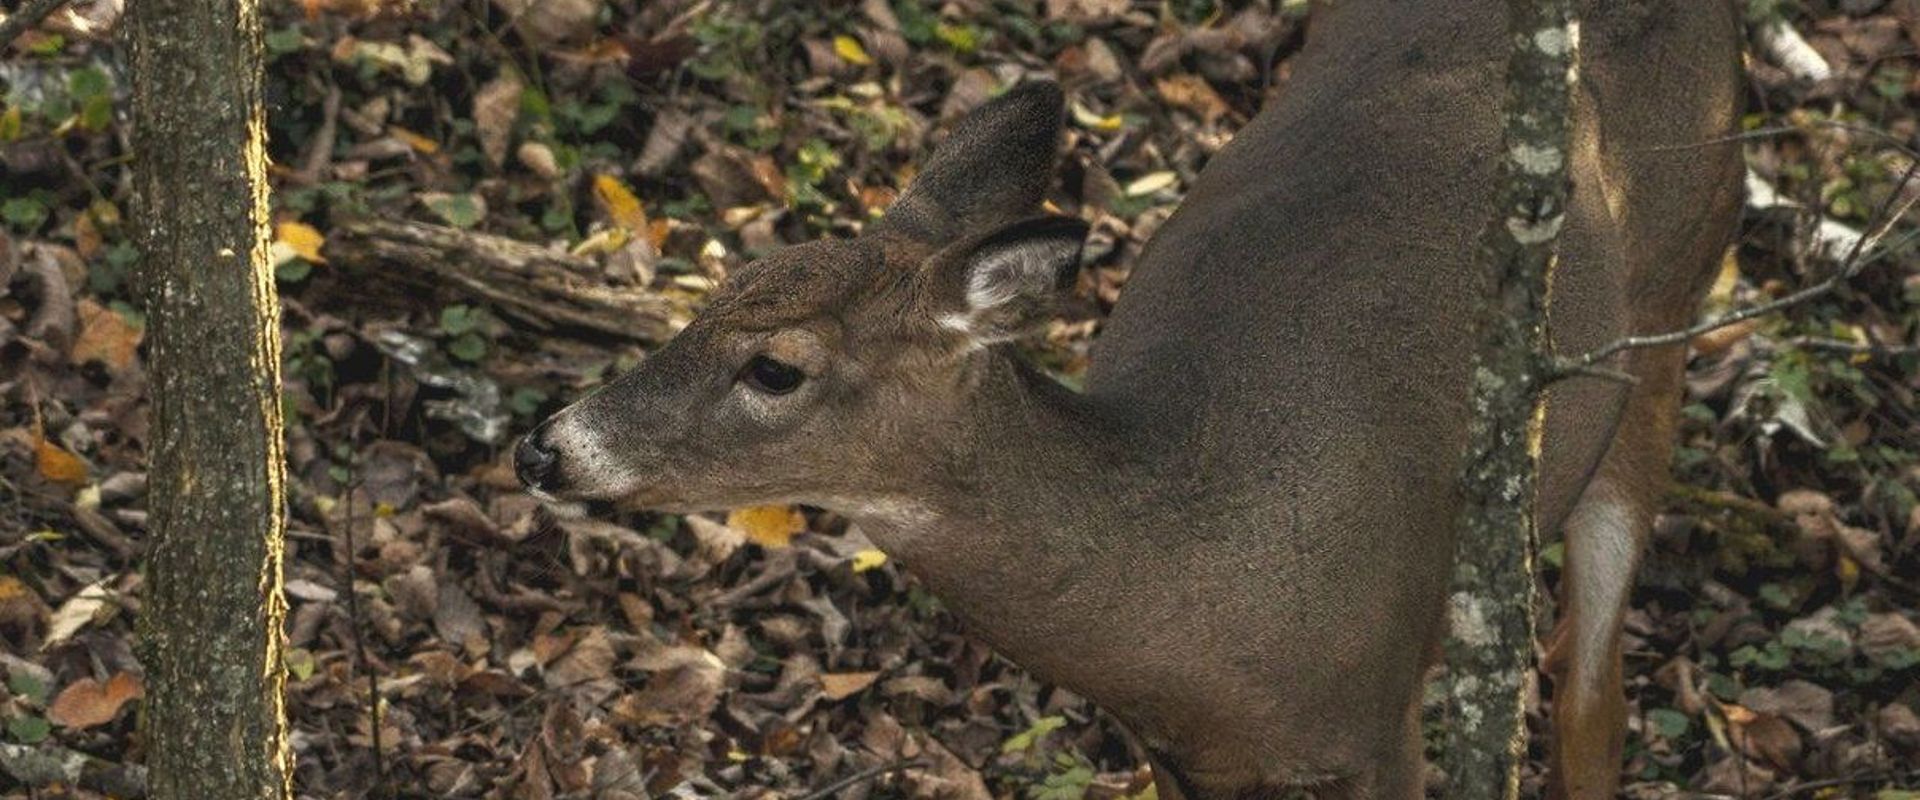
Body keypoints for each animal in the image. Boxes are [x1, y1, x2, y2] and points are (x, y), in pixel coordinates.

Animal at [514, 0, 1745, 796]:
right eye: (718, 287)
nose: (547, 448)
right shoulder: (1181, 752)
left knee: (1590, 696)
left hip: (1673, 303)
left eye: (775, 367)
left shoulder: (1380, 719)